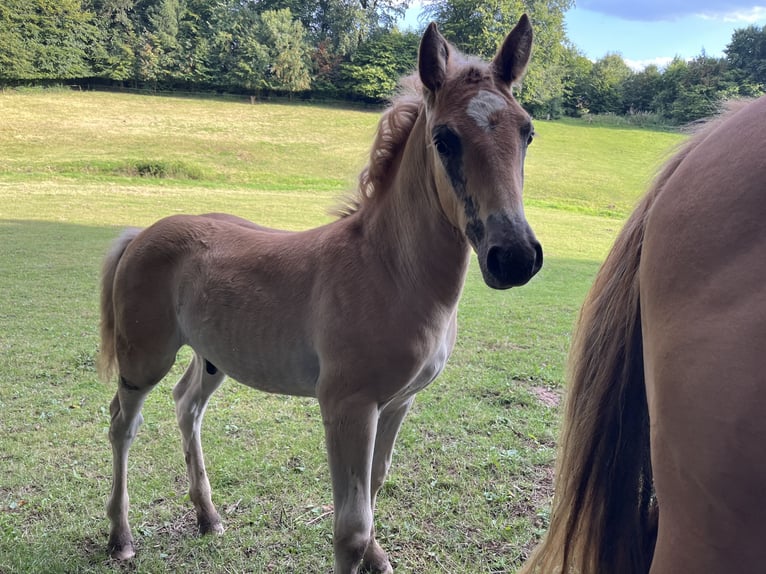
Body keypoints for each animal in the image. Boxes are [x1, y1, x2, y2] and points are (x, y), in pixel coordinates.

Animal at [99, 15, 544, 572]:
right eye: (444, 139)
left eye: (527, 132)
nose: (515, 256)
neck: (390, 271)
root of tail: (142, 233)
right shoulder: (346, 406)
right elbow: (350, 527)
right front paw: (367, 552)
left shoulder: (396, 404)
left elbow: (375, 486)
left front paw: (379, 557)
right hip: (144, 359)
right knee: (122, 423)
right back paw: (121, 537)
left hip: (211, 357)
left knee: (187, 406)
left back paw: (208, 516)